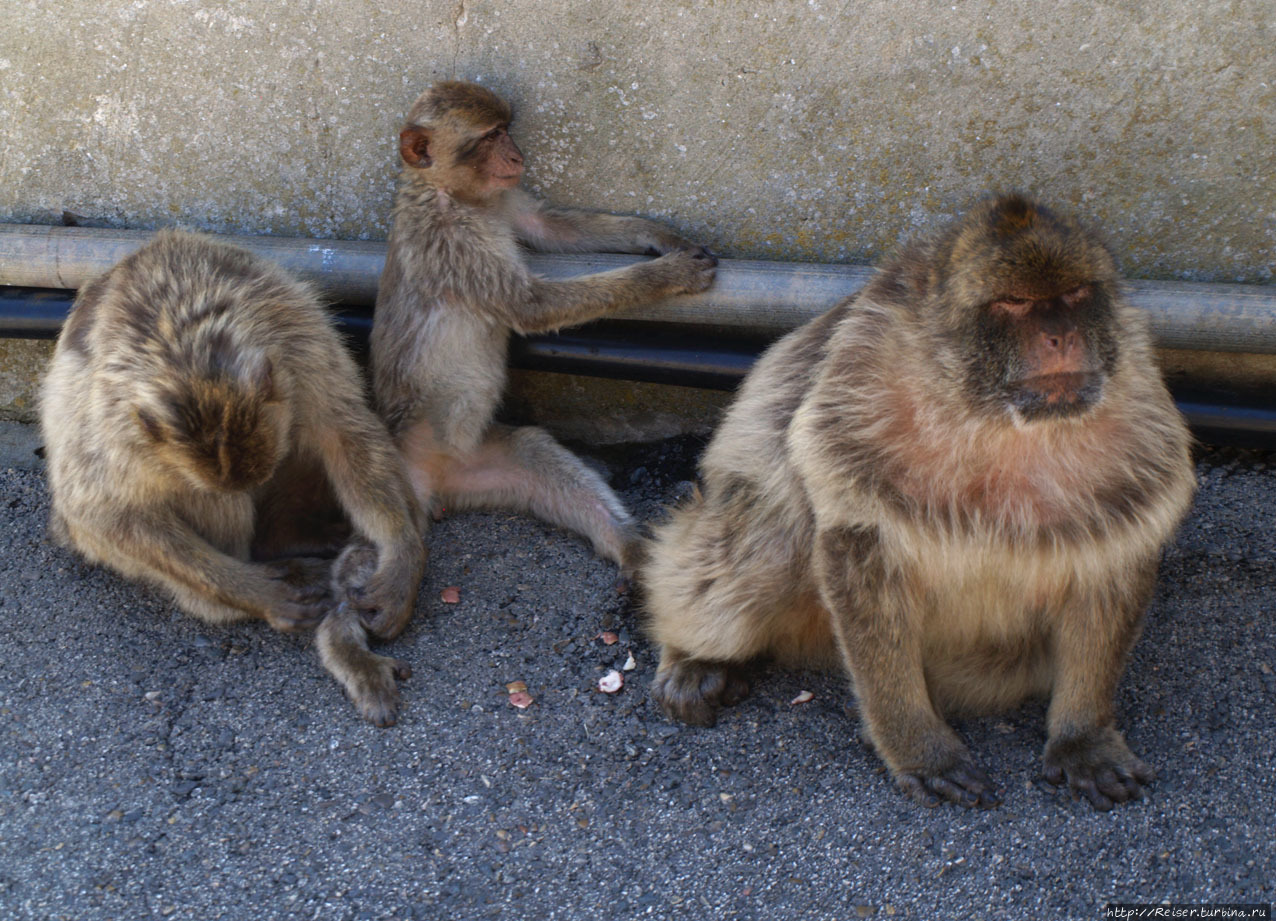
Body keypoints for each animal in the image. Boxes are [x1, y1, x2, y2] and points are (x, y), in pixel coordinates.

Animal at [370, 80, 719, 566]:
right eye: (490, 135)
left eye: (506, 130)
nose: (517, 157)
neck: (453, 196)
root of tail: (431, 481)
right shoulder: (451, 242)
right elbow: (530, 305)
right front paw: (667, 274)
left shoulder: (502, 199)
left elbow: (551, 227)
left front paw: (660, 237)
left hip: (478, 466)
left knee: (533, 450)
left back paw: (632, 550)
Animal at [648, 191, 1194, 806]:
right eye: (1014, 303)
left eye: (1076, 296)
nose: (1061, 336)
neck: (994, 422)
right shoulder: (858, 408)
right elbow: (857, 551)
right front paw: (915, 743)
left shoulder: (1138, 437)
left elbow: (1110, 563)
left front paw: (1084, 736)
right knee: (768, 535)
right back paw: (692, 653)